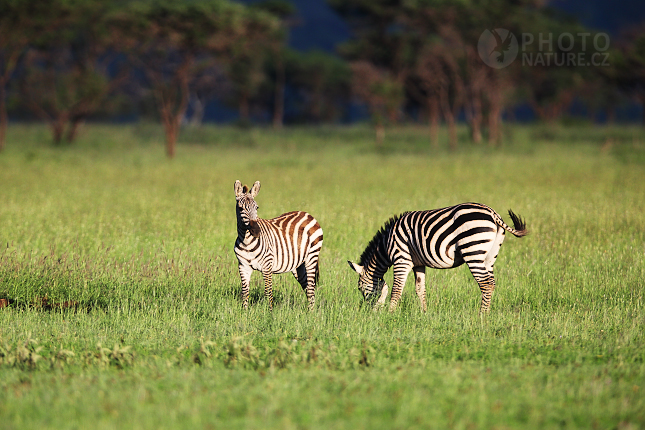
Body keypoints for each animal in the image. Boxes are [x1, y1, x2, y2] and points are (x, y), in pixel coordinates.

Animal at [231, 181, 322, 310]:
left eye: (257, 207)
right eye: (240, 208)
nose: (256, 231)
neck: (246, 241)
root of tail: (307, 214)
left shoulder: (267, 266)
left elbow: (268, 292)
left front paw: (269, 312)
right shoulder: (243, 267)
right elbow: (245, 292)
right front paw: (244, 311)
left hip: (312, 256)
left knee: (310, 287)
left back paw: (312, 313)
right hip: (298, 265)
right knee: (308, 287)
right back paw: (310, 311)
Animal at [348, 203, 528, 310]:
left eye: (360, 288)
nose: (369, 310)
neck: (386, 246)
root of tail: (493, 213)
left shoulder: (401, 259)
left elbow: (396, 289)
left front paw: (390, 315)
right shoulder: (418, 263)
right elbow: (420, 289)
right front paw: (424, 314)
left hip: (473, 250)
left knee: (485, 284)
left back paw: (481, 318)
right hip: (489, 256)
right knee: (491, 283)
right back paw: (488, 314)